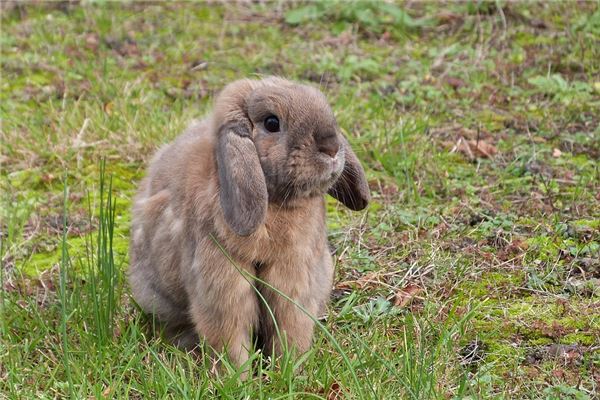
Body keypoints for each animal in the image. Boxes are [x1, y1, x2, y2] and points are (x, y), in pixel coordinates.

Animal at [129, 76, 368, 370]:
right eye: (272, 123)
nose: (332, 147)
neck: (275, 202)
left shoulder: (294, 279)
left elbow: (290, 326)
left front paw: (288, 369)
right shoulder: (222, 286)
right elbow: (230, 335)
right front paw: (236, 375)